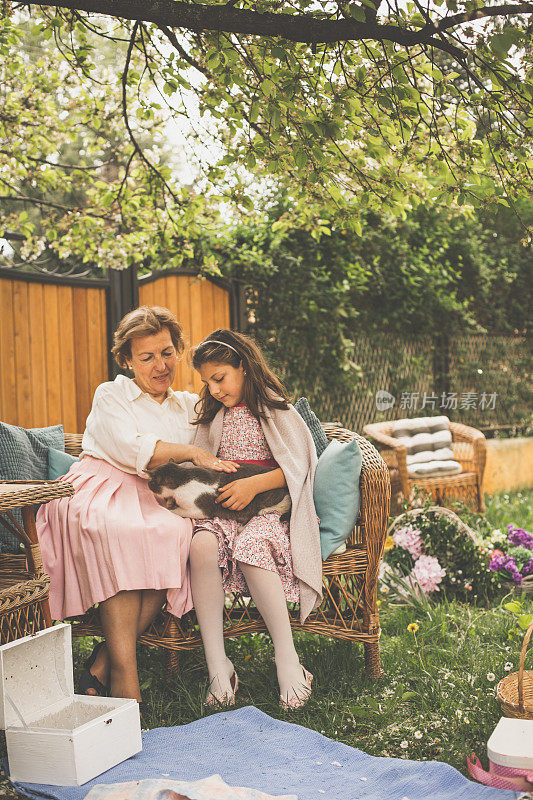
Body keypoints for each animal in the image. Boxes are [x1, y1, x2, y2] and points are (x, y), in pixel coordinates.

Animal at [147, 460, 290, 528]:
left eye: (150, 483)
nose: (148, 486)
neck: (183, 477)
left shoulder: (199, 510)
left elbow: (179, 511)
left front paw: (170, 508)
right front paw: (170, 501)